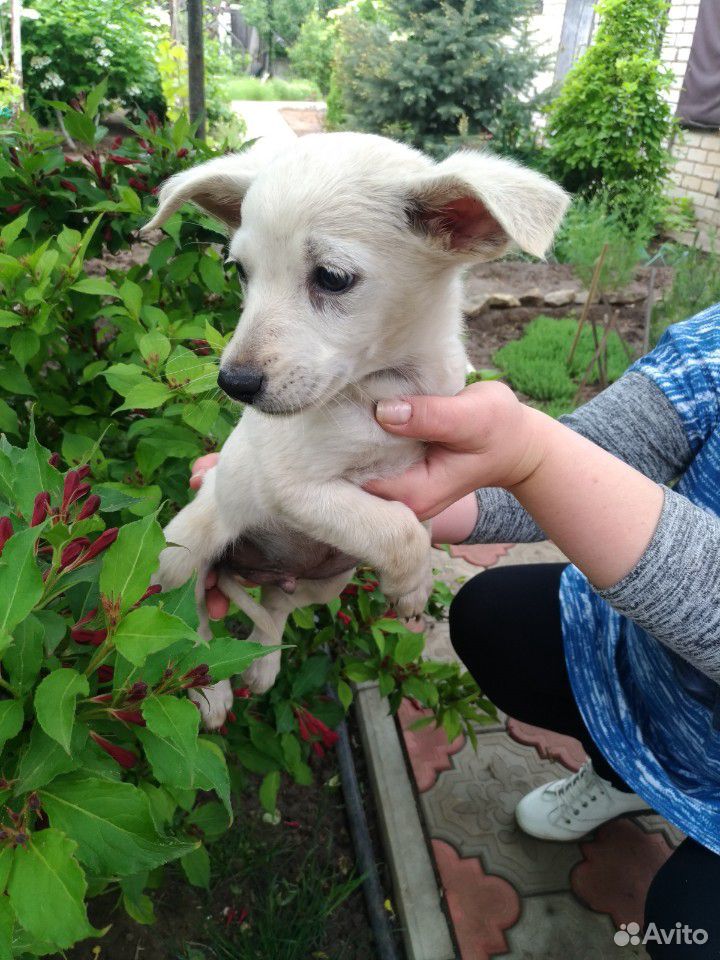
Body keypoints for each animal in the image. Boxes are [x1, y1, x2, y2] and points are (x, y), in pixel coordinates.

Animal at [142, 129, 568, 728]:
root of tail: (254, 570)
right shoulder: (295, 488)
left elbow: (407, 524)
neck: (381, 388)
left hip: (325, 581)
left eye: (332, 278)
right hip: (178, 553)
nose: (233, 383)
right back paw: (208, 691)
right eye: (242, 272)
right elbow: (399, 528)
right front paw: (412, 587)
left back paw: (262, 665)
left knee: (276, 609)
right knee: (187, 617)